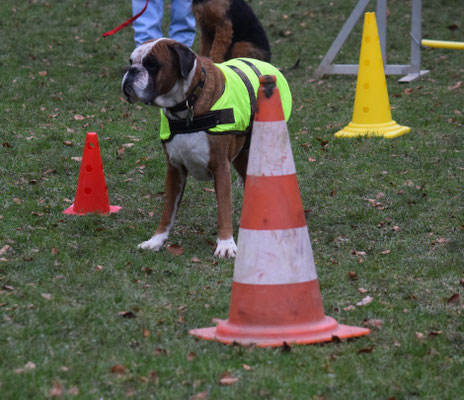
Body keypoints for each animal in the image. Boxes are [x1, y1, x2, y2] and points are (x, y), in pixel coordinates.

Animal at [121, 38, 292, 256]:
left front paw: (226, 244)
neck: (187, 104)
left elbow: (223, 208)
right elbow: (168, 210)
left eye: (151, 64)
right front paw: (156, 240)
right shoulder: (174, 169)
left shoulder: (220, 167)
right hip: (242, 158)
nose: (131, 70)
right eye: (131, 61)